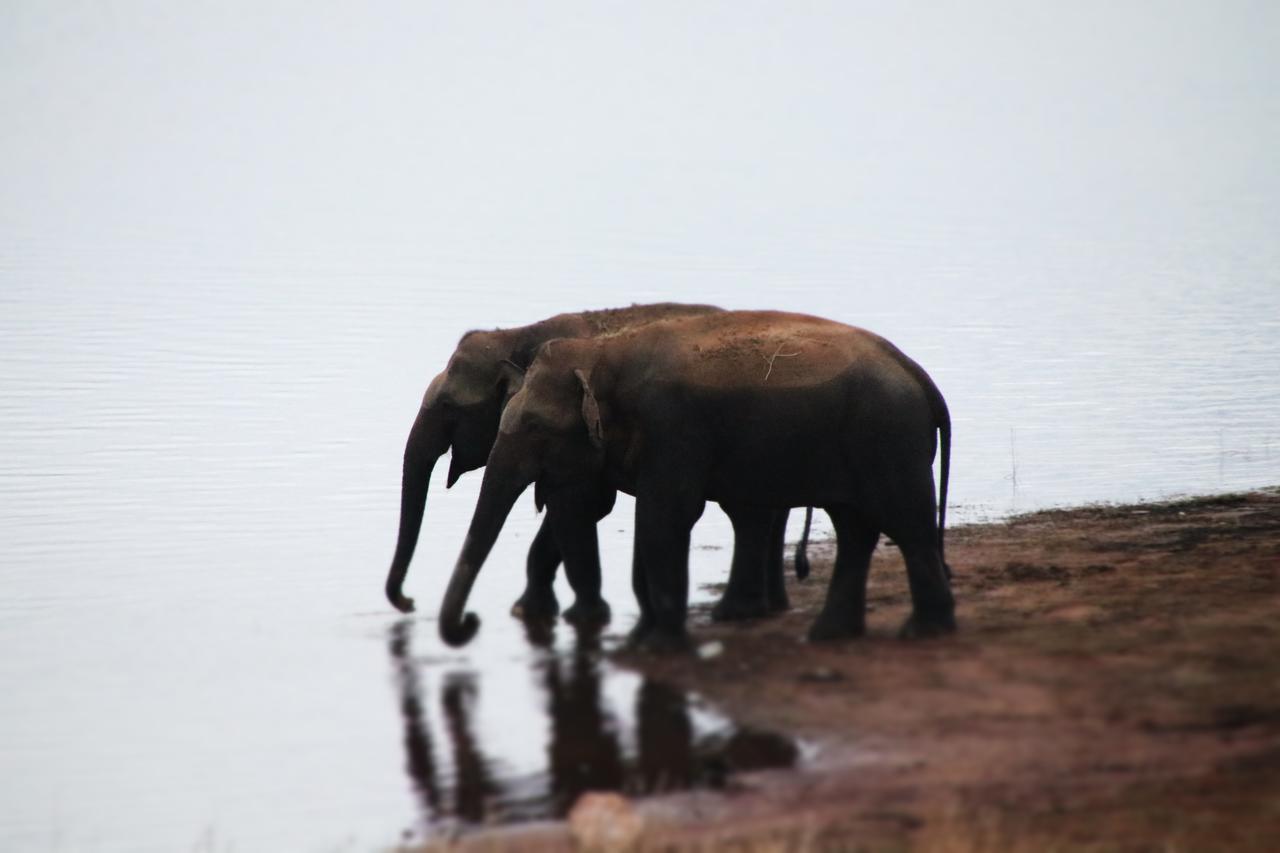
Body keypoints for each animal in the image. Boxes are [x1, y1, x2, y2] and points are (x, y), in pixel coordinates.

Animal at [437, 308, 952, 648]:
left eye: (534, 427)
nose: (471, 624)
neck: (605, 354)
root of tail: (922, 378)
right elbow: (651, 517)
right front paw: (645, 637)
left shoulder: (673, 425)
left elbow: (665, 516)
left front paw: (657, 647)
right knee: (854, 530)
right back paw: (827, 636)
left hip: (890, 439)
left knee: (907, 524)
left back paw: (921, 633)